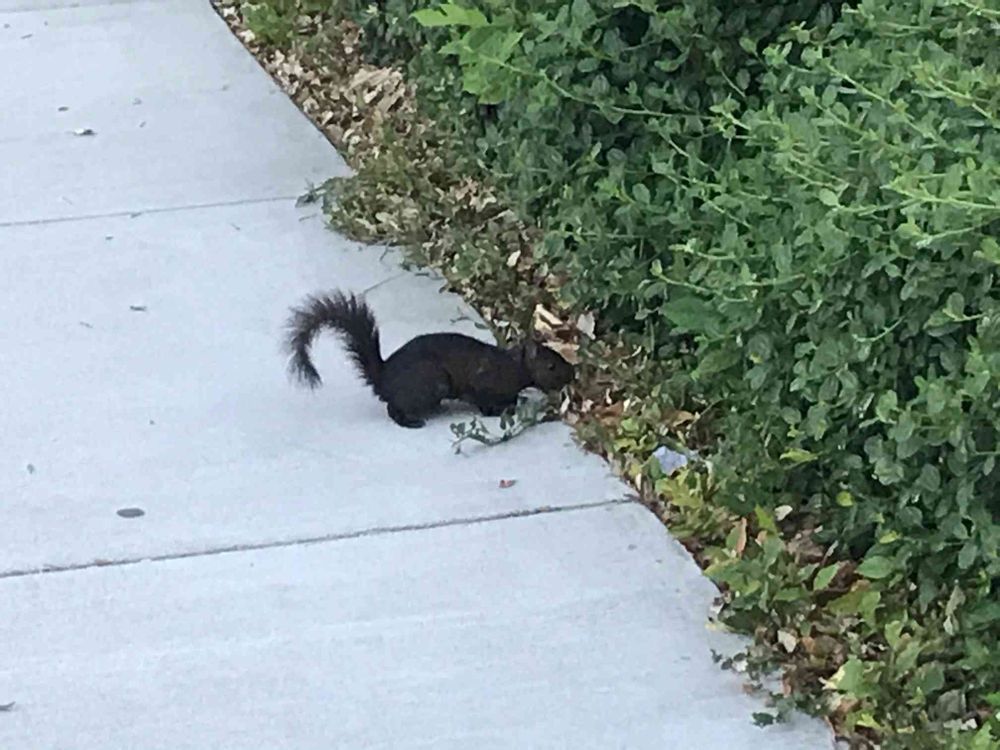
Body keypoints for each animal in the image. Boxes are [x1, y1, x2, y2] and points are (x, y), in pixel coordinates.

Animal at [283, 290, 574, 428]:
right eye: (551, 365)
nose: (572, 374)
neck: (511, 366)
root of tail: (382, 379)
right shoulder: (482, 384)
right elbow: (484, 401)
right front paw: (499, 411)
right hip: (431, 384)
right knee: (393, 409)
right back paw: (412, 421)